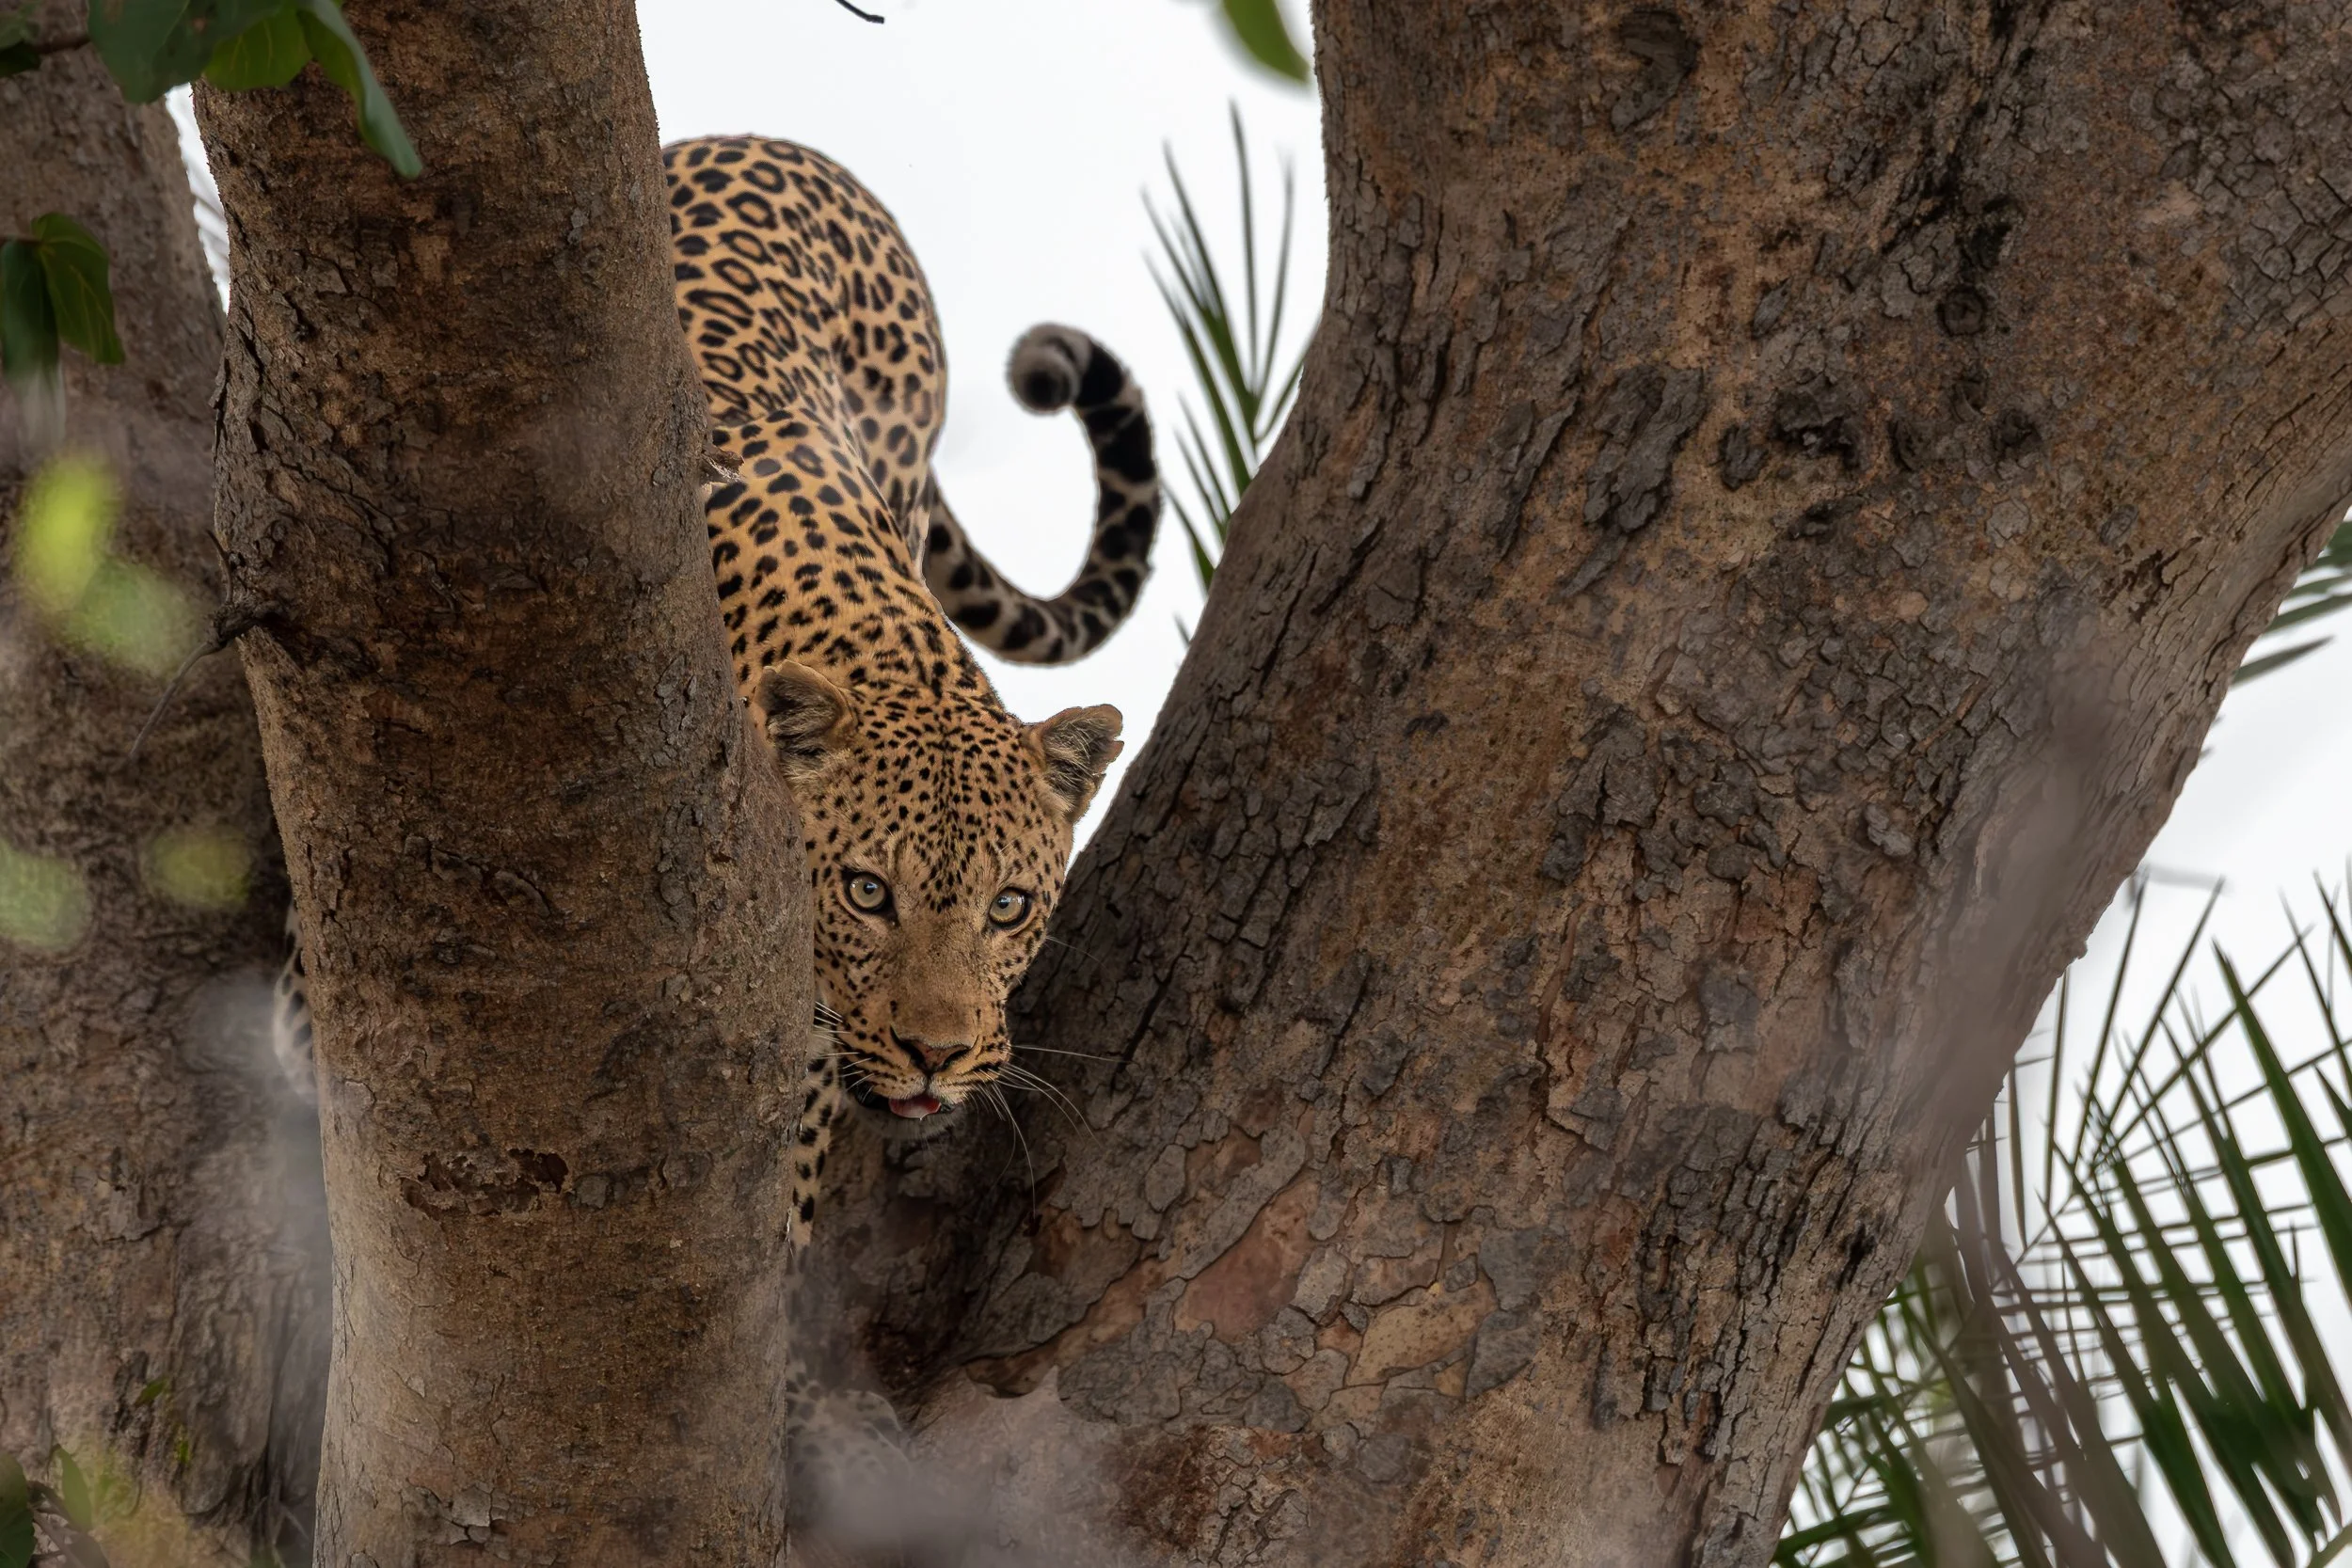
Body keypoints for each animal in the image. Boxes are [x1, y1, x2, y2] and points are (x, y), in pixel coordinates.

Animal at [270, 133, 1161, 1534]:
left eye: (1010, 907)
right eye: (867, 890)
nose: (936, 1054)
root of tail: (784, 146)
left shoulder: (805, 1031)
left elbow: (780, 1207)